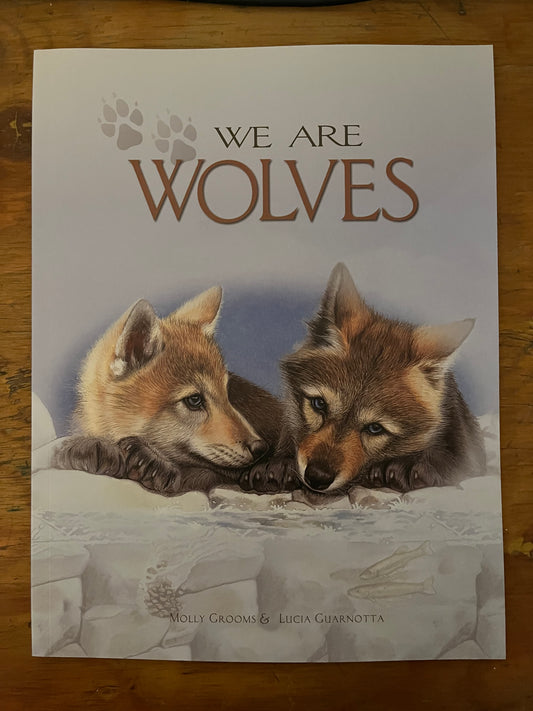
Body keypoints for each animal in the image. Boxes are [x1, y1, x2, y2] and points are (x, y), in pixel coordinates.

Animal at [53, 287, 296, 495]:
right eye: (194, 400)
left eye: (226, 393)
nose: (260, 448)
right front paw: (91, 448)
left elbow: (198, 474)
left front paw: (153, 461)